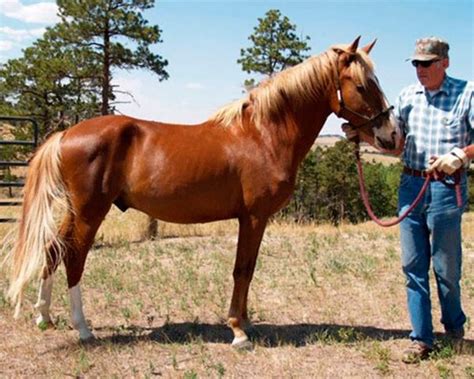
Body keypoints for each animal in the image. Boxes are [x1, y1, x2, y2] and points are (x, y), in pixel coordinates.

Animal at [2, 37, 400, 348]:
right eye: (362, 86)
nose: (392, 136)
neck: (263, 134)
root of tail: (66, 134)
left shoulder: (254, 219)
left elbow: (248, 270)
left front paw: (245, 322)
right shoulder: (253, 217)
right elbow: (242, 270)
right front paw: (239, 331)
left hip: (75, 210)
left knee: (53, 249)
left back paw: (44, 317)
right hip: (90, 211)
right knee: (74, 257)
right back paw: (83, 329)